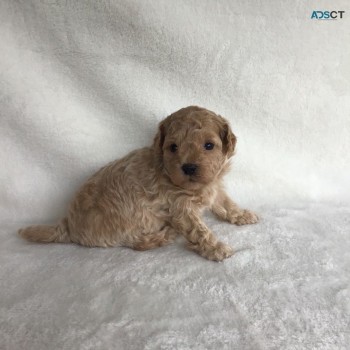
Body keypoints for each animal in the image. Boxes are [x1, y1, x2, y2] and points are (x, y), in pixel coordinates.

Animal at [19, 105, 260, 262]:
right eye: (173, 147)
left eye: (209, 145)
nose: (189, 167)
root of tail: (67, 224)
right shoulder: (180, 208)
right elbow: (200, 231)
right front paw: (217, 248)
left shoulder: (214, 187)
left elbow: (226, 204)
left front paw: (242, 215)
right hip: (127, 221)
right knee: (136, 243)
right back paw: (165, 234)